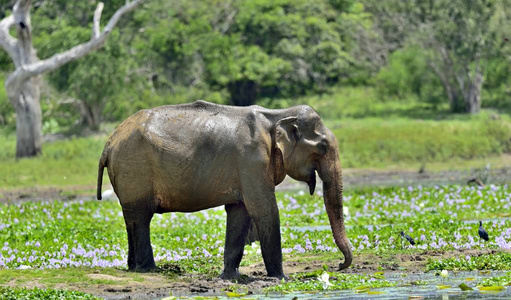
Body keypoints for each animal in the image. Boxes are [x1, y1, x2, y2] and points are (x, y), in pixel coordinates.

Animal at [96, 100, 352, 278]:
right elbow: (265, 211)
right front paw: (282, 278)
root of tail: (109, 143)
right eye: (323, 146)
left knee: (132, 218)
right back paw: (149, 270)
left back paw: (134, 267)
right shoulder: (251, 160)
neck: (277, 114)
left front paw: (232, 277)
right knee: (141, 218)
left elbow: (239, 212)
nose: (339, 266)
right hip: (135, 169)